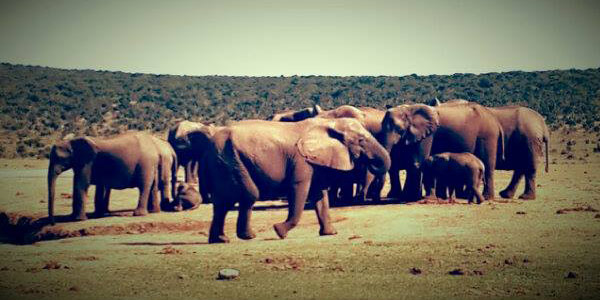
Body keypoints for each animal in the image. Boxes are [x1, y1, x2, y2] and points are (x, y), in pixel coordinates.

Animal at [190, 118, 392, 244]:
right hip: (231, 160)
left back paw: (220, 240)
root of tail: (208, 149)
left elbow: (320, 196)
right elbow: (300, 191)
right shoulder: (301, 162)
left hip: (223, 163)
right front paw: (279, 231)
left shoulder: (314, 161)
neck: (328, 123)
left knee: (223, 203)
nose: (370, 163)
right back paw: (248, 236)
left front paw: (330, 233)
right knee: (248, 196)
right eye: (361, 140)